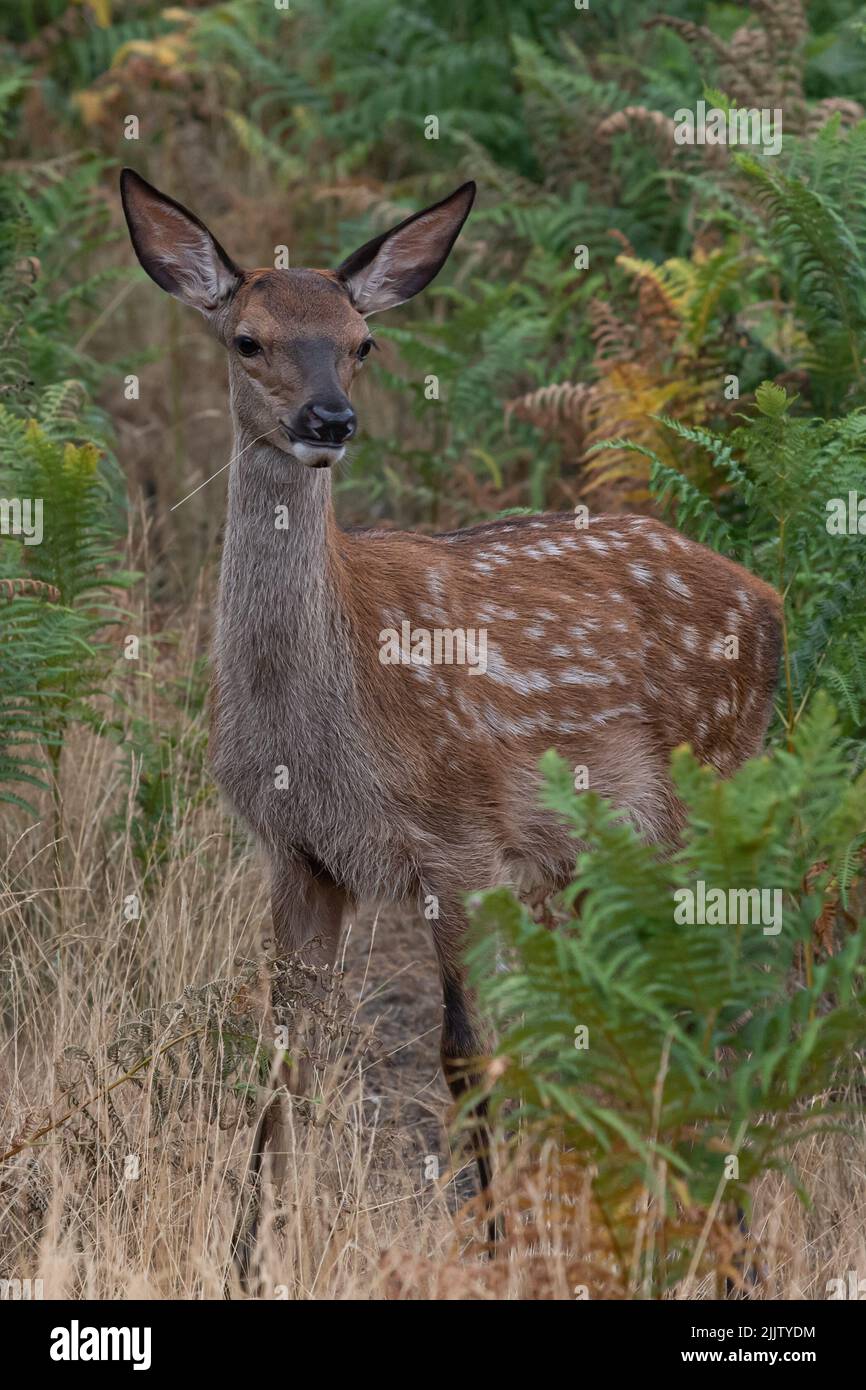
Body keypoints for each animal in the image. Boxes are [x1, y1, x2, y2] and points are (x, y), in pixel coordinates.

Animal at [118, 170, 783, 1239]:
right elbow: (284, 1059)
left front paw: (497, 1239)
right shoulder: (295, 854)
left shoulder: (463, 841)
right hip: (592, 856)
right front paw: (246, 1247)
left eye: (363, 342)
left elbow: (467, 1055)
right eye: (247, 339)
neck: (321, 736)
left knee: (720, 1004)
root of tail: (772, 605)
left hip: (706, 793)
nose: (330, 420)